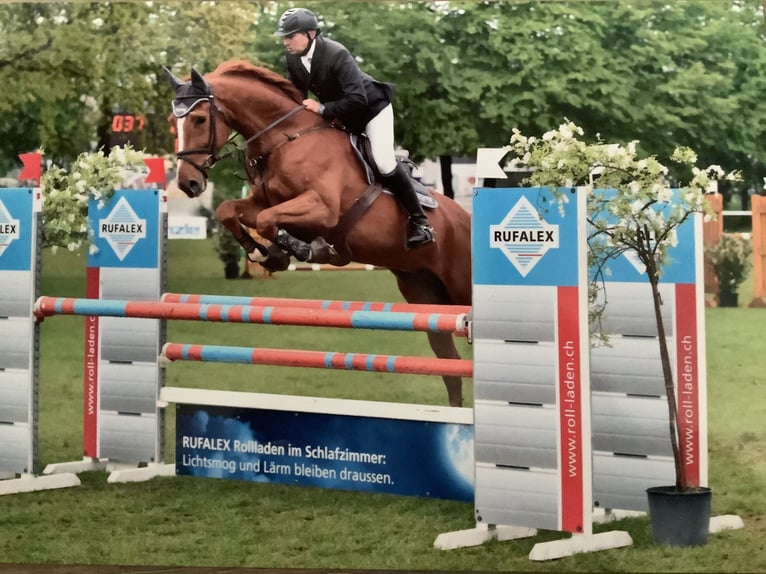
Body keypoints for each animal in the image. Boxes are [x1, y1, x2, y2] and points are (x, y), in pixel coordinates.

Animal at [163, 60, 472, 407]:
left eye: (200, 118)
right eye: (173, 123)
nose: (188, 183)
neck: (285, 138)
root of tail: (466, 219)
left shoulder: (321, 208)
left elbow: (269, 221)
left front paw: (304, 251)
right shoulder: (263, 203)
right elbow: (229, 211)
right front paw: (265, 254)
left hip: (461, 287)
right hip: (424, 294)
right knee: (451, 366)